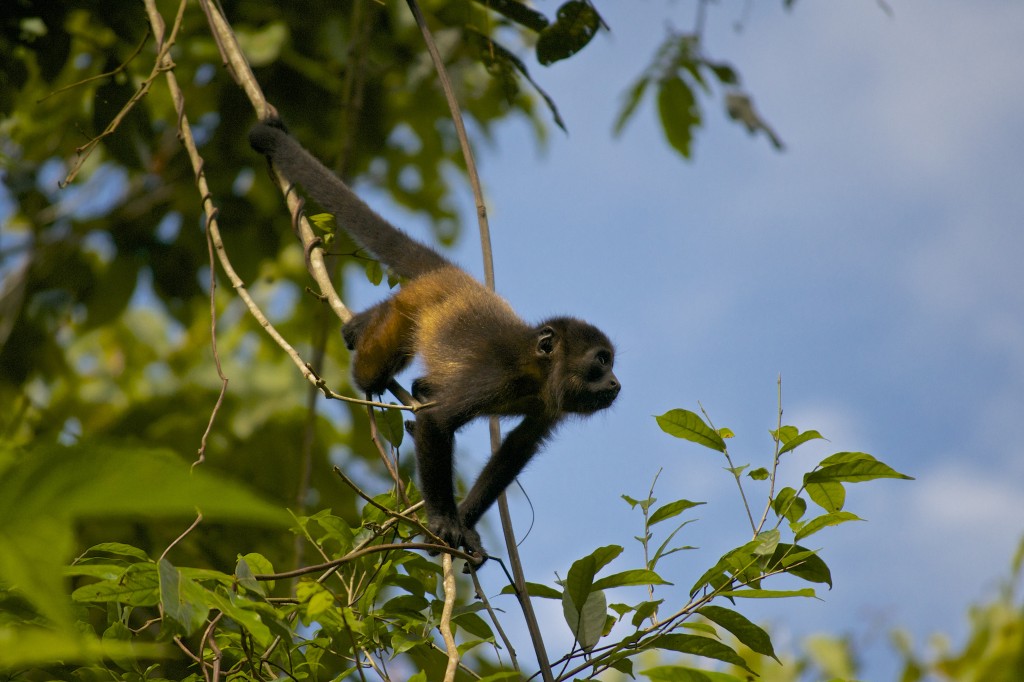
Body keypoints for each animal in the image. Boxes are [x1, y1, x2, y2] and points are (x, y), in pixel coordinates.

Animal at [249, 119, 614, 561]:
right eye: (600, 361)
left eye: (611, 363)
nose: (616, 383)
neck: (534, 371)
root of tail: (451, 276)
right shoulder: (495, 378)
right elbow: (438, 422)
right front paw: (443, 521)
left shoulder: (548, 405)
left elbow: (515, 450)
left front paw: (467, 527)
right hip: (411, 305)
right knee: (373, 369)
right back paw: (363, 331)